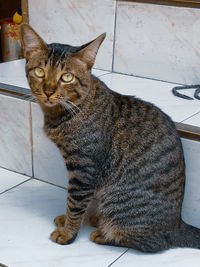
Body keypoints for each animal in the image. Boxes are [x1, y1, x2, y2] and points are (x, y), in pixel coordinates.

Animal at [20, 23, 200, 253]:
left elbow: (75, 204)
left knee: (152, 244)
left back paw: (103, 233)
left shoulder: (84, 169)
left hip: (119, 202)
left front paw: (68, 232)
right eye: (39, 72)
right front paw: (71, 219)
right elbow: (82, 203)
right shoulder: (87, 175)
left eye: (67, 77)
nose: (49, 91)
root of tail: (177, 225)